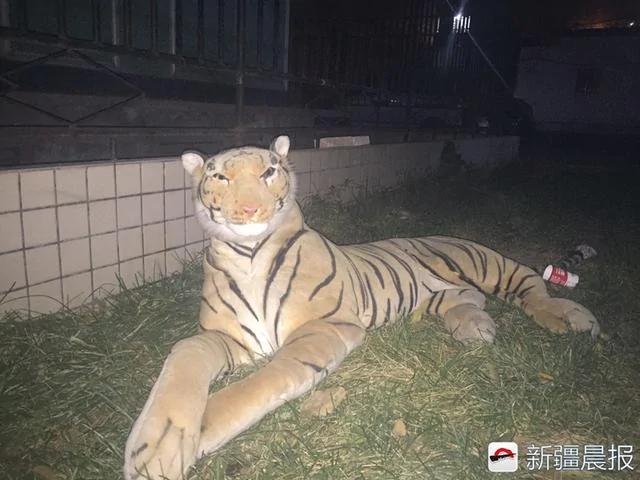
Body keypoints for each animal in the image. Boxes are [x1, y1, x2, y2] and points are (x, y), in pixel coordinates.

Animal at [124, 135, 599, 480]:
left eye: (269, 171)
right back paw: (475, 327)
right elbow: (186, 352)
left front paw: (201, 428)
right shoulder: (224, 337)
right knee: (468, 300)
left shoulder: (324, 327)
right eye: (221, 177)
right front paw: (156, 446)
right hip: (436, 296)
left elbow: (263, 381)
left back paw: (573, 318)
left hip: (483, 260)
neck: (248, 255)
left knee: (530, 286)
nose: (250, 208)